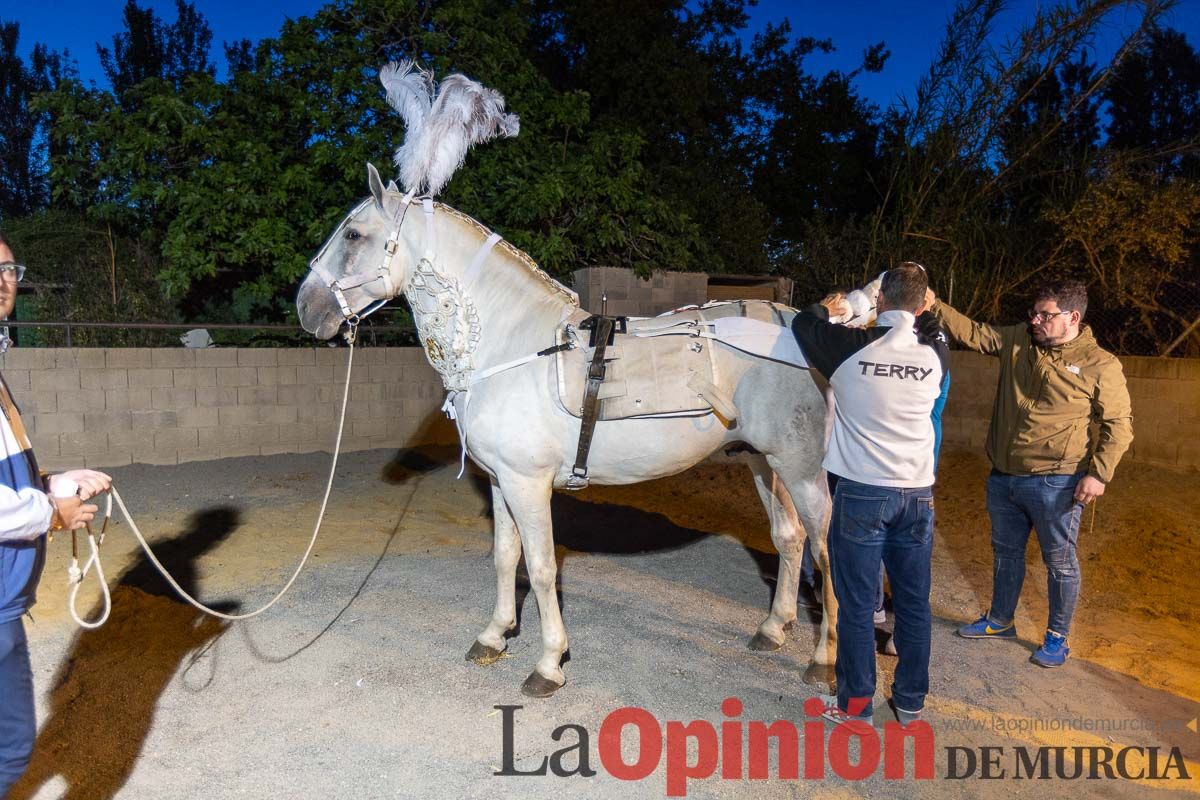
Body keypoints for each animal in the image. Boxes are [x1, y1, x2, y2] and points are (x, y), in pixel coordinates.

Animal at [297, 165, 844, 695]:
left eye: (353, 234)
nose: (305, 309)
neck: (511, 346)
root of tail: (798, 324)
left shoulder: (528, 484)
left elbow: (541, 569)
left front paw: (548, 663)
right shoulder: (502, 482)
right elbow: (505, 557)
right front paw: (494, 636)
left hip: (800, 468)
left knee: (825, 549)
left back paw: (824, 661)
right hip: (761, 461)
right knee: (789, 537)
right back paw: (773, 629)